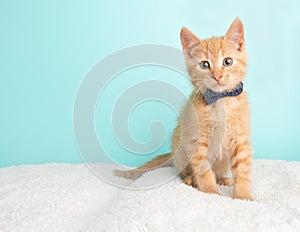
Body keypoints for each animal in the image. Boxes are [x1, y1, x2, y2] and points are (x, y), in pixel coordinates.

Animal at [115, 17, 253, 199]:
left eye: (227, 62)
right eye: (204, 65)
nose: (217, 76)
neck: (219, 101)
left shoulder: (240, 137)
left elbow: (243, 170)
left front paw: (243, 196)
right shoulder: (196, 141)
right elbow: (203, 171)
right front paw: (211, 192)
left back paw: (223, 178)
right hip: (180, 147)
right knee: (184, 171)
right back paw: (190, 179)